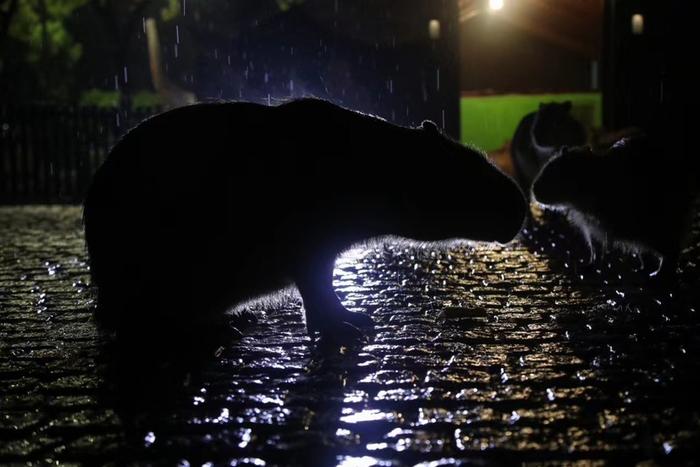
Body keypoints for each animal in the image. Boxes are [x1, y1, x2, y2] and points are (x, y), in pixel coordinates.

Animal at [83, 98, 524, 344]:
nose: (521, 207)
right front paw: (345, 325)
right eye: (466, 170)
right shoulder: (309, 248)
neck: (375, 163)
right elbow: (318, 292)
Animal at [536, 133, 696, 276]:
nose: (534, 193)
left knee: (670, 247)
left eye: (556, 175)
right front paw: (590, 266)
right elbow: (596, 249)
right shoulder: (592, 226)